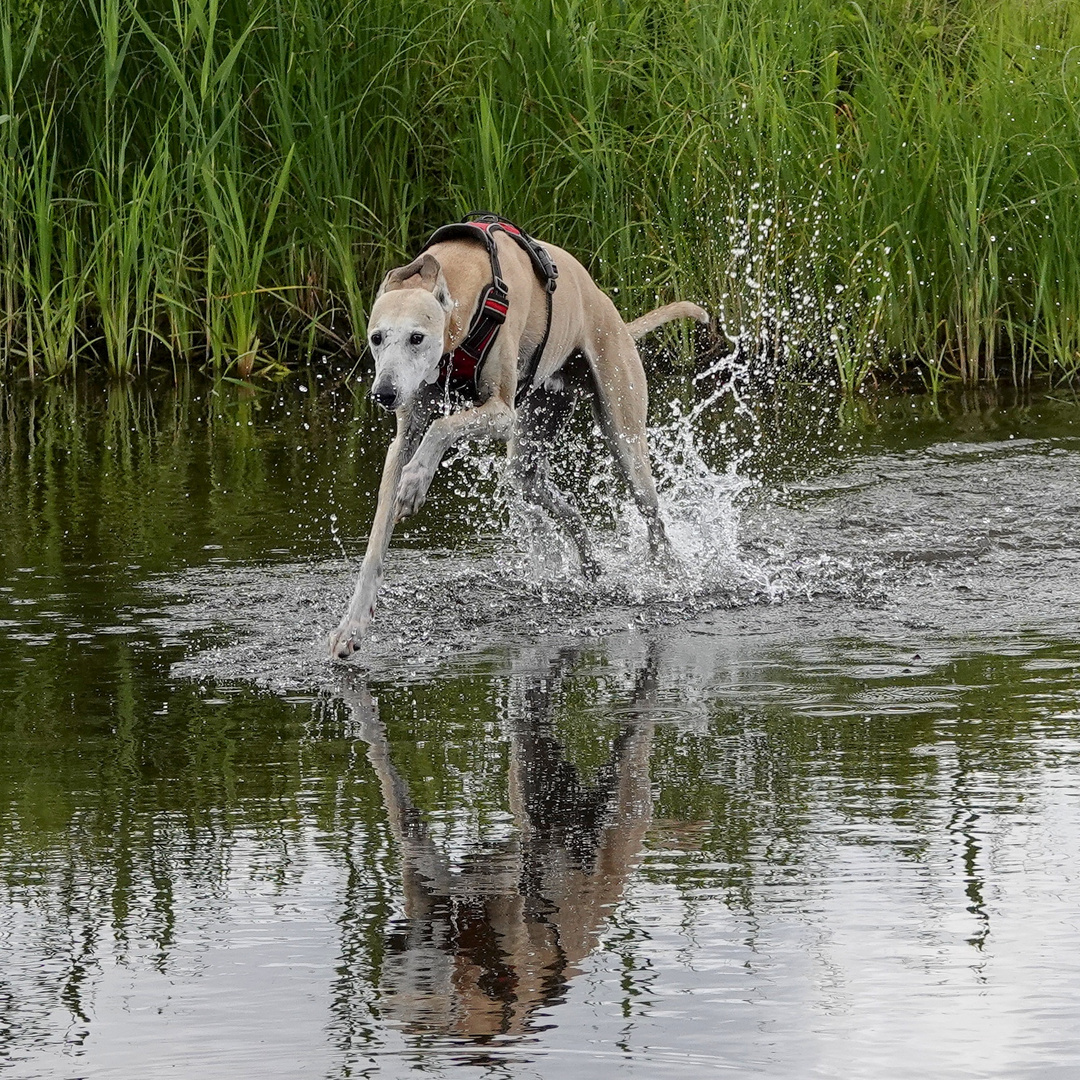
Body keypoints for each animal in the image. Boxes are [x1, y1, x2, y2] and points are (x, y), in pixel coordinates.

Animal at [328, 212, 708, 656]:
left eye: (416, 338)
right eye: (376, 338)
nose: (384, 394)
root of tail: (610, 312)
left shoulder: (501, 413)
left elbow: (442, 427)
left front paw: (415, 483)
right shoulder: (406, 433)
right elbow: (377, 540)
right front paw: (352, 626)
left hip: (622, 429)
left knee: (652, 513)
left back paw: (670, 575)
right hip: (534, 438)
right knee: (558, 501)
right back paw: (591, 567)